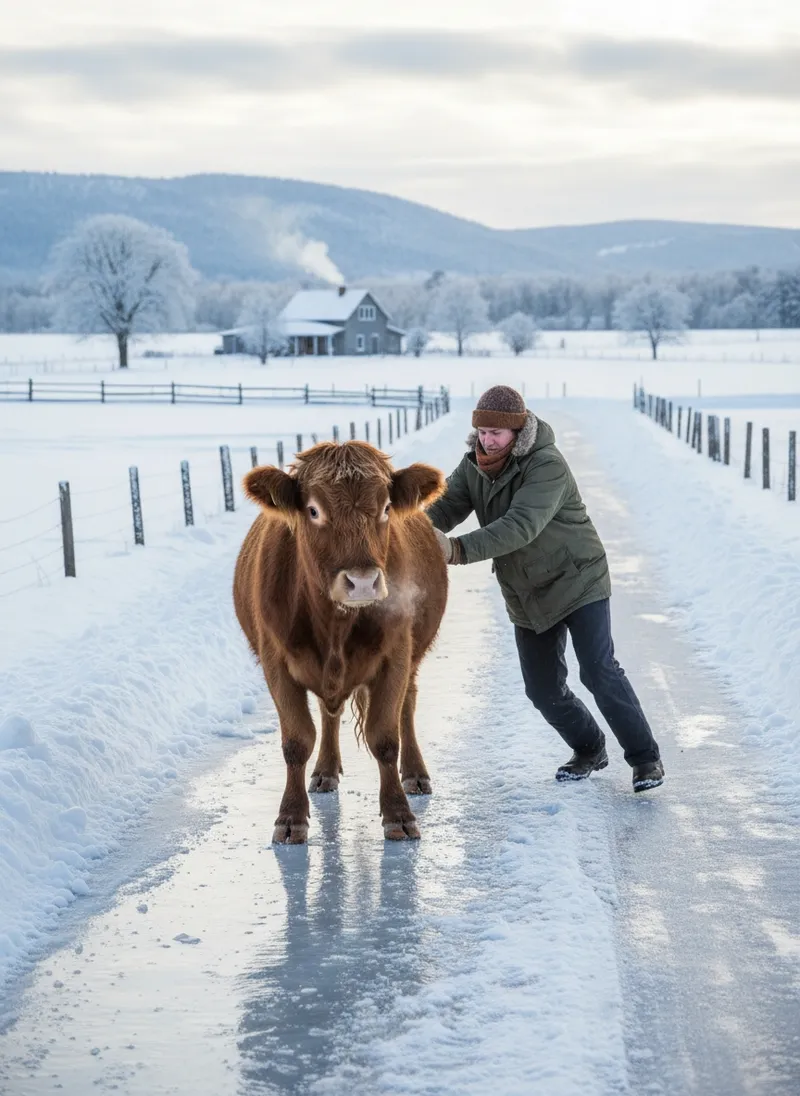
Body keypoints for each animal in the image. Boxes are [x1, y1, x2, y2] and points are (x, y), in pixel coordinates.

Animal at [234, 441, 448, 845]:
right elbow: (297, 741)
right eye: (314, 510)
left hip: (412, 657)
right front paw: (290, 817)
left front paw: (398, 814)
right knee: (327, 714)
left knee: (407, 706)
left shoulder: (396, 656)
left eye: (386, 507)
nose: (362, 582)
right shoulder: (276, 663)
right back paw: (325, 770)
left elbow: (385, 737)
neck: (334, 624)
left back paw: (415, 773)